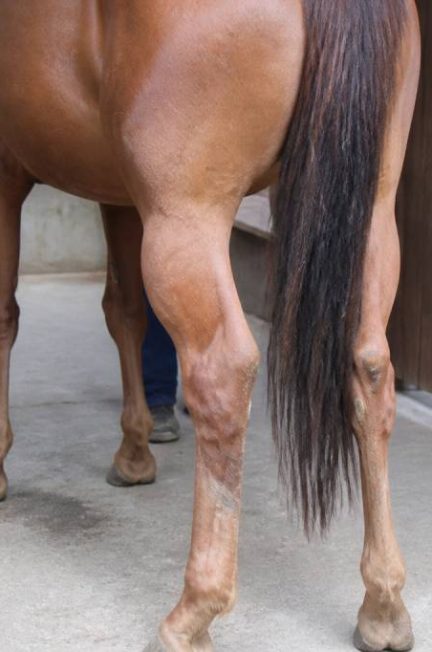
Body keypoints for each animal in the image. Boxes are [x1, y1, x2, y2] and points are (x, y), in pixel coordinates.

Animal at [0, 1, 421, 650]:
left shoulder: (7, 176)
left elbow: (6, 316)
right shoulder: (121, 192)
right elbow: (125, 312)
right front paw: (135, 451)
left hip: (187, 220)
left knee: (222, 377)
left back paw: (192, 613)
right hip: (372, 217)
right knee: (370, 370)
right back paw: (383, 603)